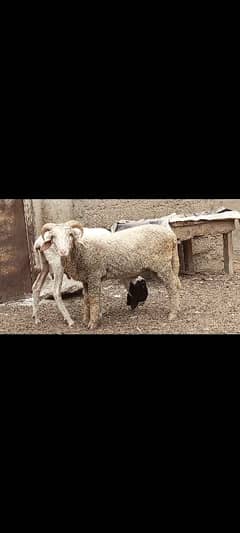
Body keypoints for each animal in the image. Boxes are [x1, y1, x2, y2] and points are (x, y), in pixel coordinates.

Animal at [32, 217, 181, 326]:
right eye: (53, 237)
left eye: (70, 235)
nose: (63, 251)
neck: (80, 251)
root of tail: (171, 236)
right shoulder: (86, 278)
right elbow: (86, 299)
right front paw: (87, 319)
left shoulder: (94, 275)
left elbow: (93, 299)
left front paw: (93, 323)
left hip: (162, 264)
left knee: (172, 286)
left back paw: (173, 314)